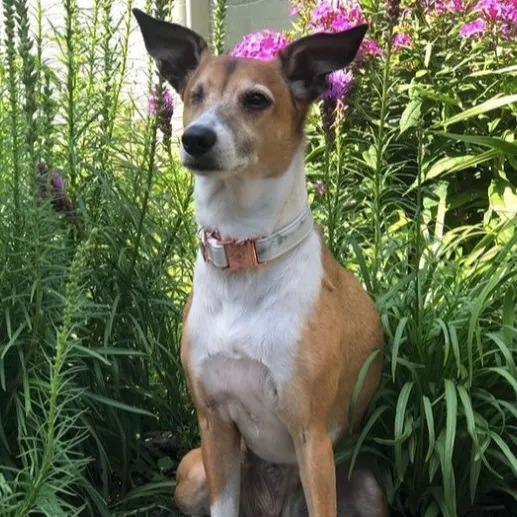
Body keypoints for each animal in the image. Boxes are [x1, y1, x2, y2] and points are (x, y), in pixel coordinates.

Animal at [134, 9, 388, 516]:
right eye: (195, 94)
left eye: (256, 100)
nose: (195, 138)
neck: (243, 254)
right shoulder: (213, 424)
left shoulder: (311, 436)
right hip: (191, 474)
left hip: (366, 485)